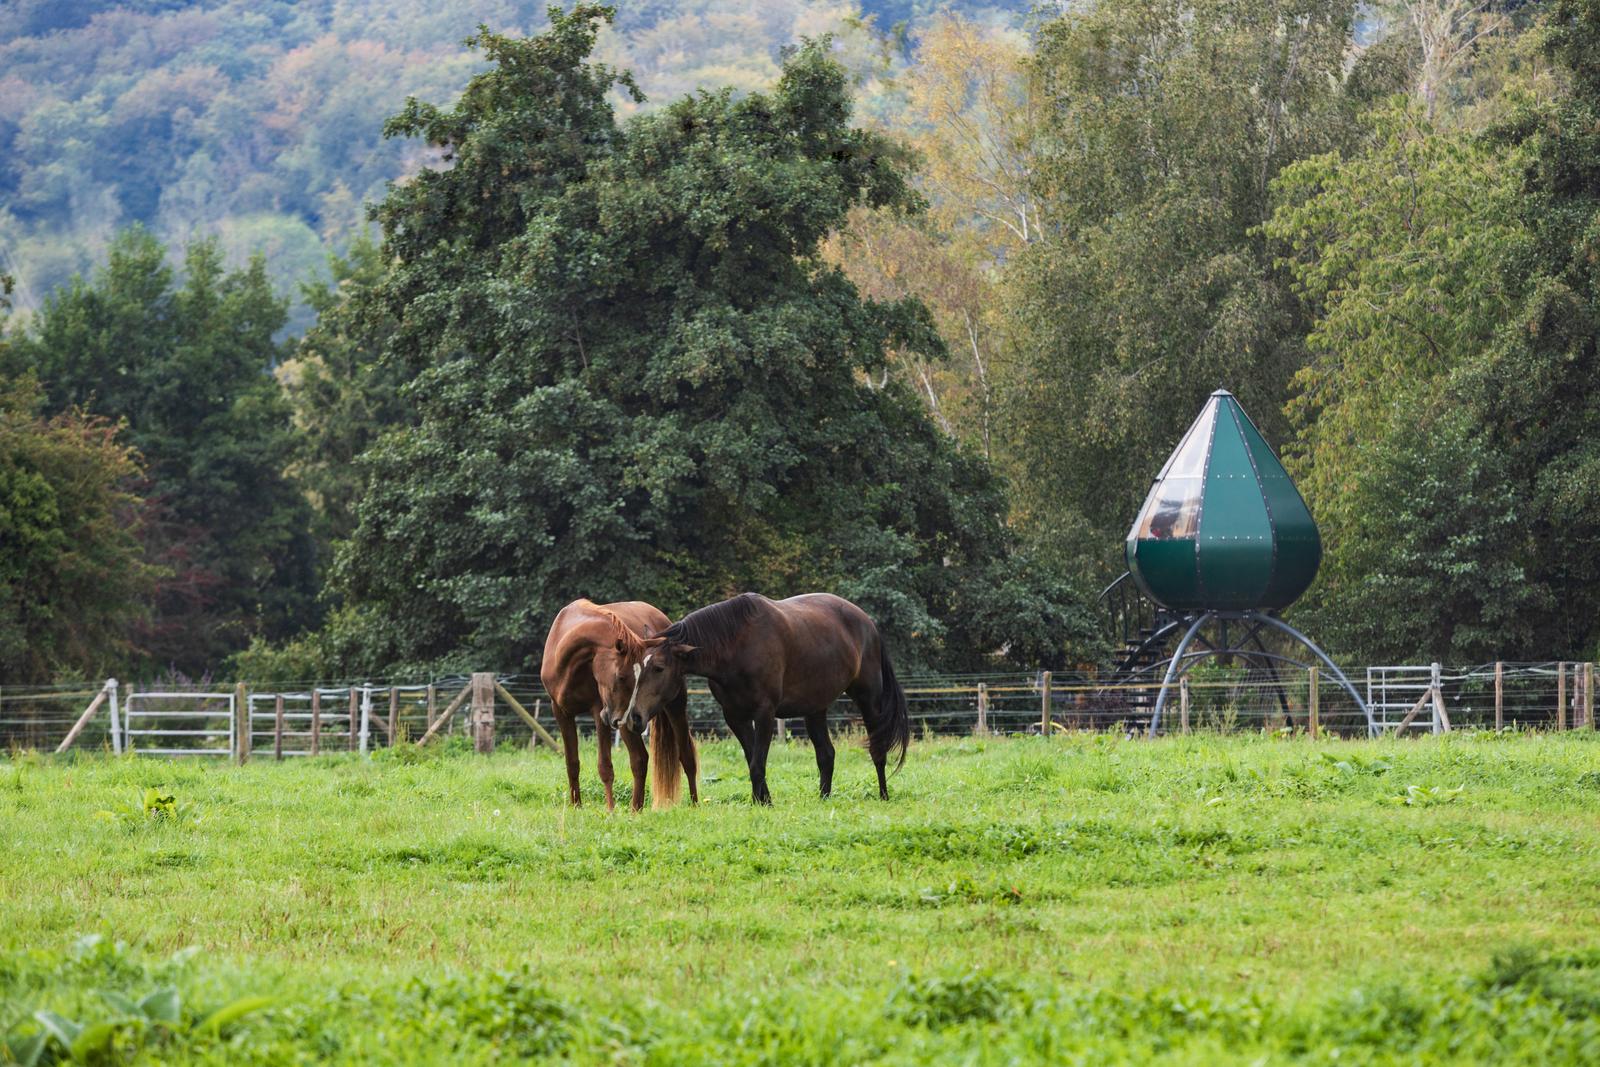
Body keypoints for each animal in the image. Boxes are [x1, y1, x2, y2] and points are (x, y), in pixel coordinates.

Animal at [539, 599, 698, 811]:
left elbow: (605, 766)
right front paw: (576, 806)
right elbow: (572, 762)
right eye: (621, 677)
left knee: (682, 755)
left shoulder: (600, 712)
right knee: (641, 759)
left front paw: (610, 809)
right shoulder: (561, 712)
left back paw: (693, 804)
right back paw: (636, 809)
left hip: (673, 706)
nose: (627, 717)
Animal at [618, 592, 909, 804]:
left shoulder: (765, 714)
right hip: (815, 709)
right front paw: (761, 800)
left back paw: (883, 795)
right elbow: (751, 760)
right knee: (826, 755)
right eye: (636, 667)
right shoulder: (735, 717)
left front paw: (764, 802)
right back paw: (824, 798)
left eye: (659, 668)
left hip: (869, 699)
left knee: (878, 749)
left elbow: (758, 763)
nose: (634, 717)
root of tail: (868, 624)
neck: (736, 646)